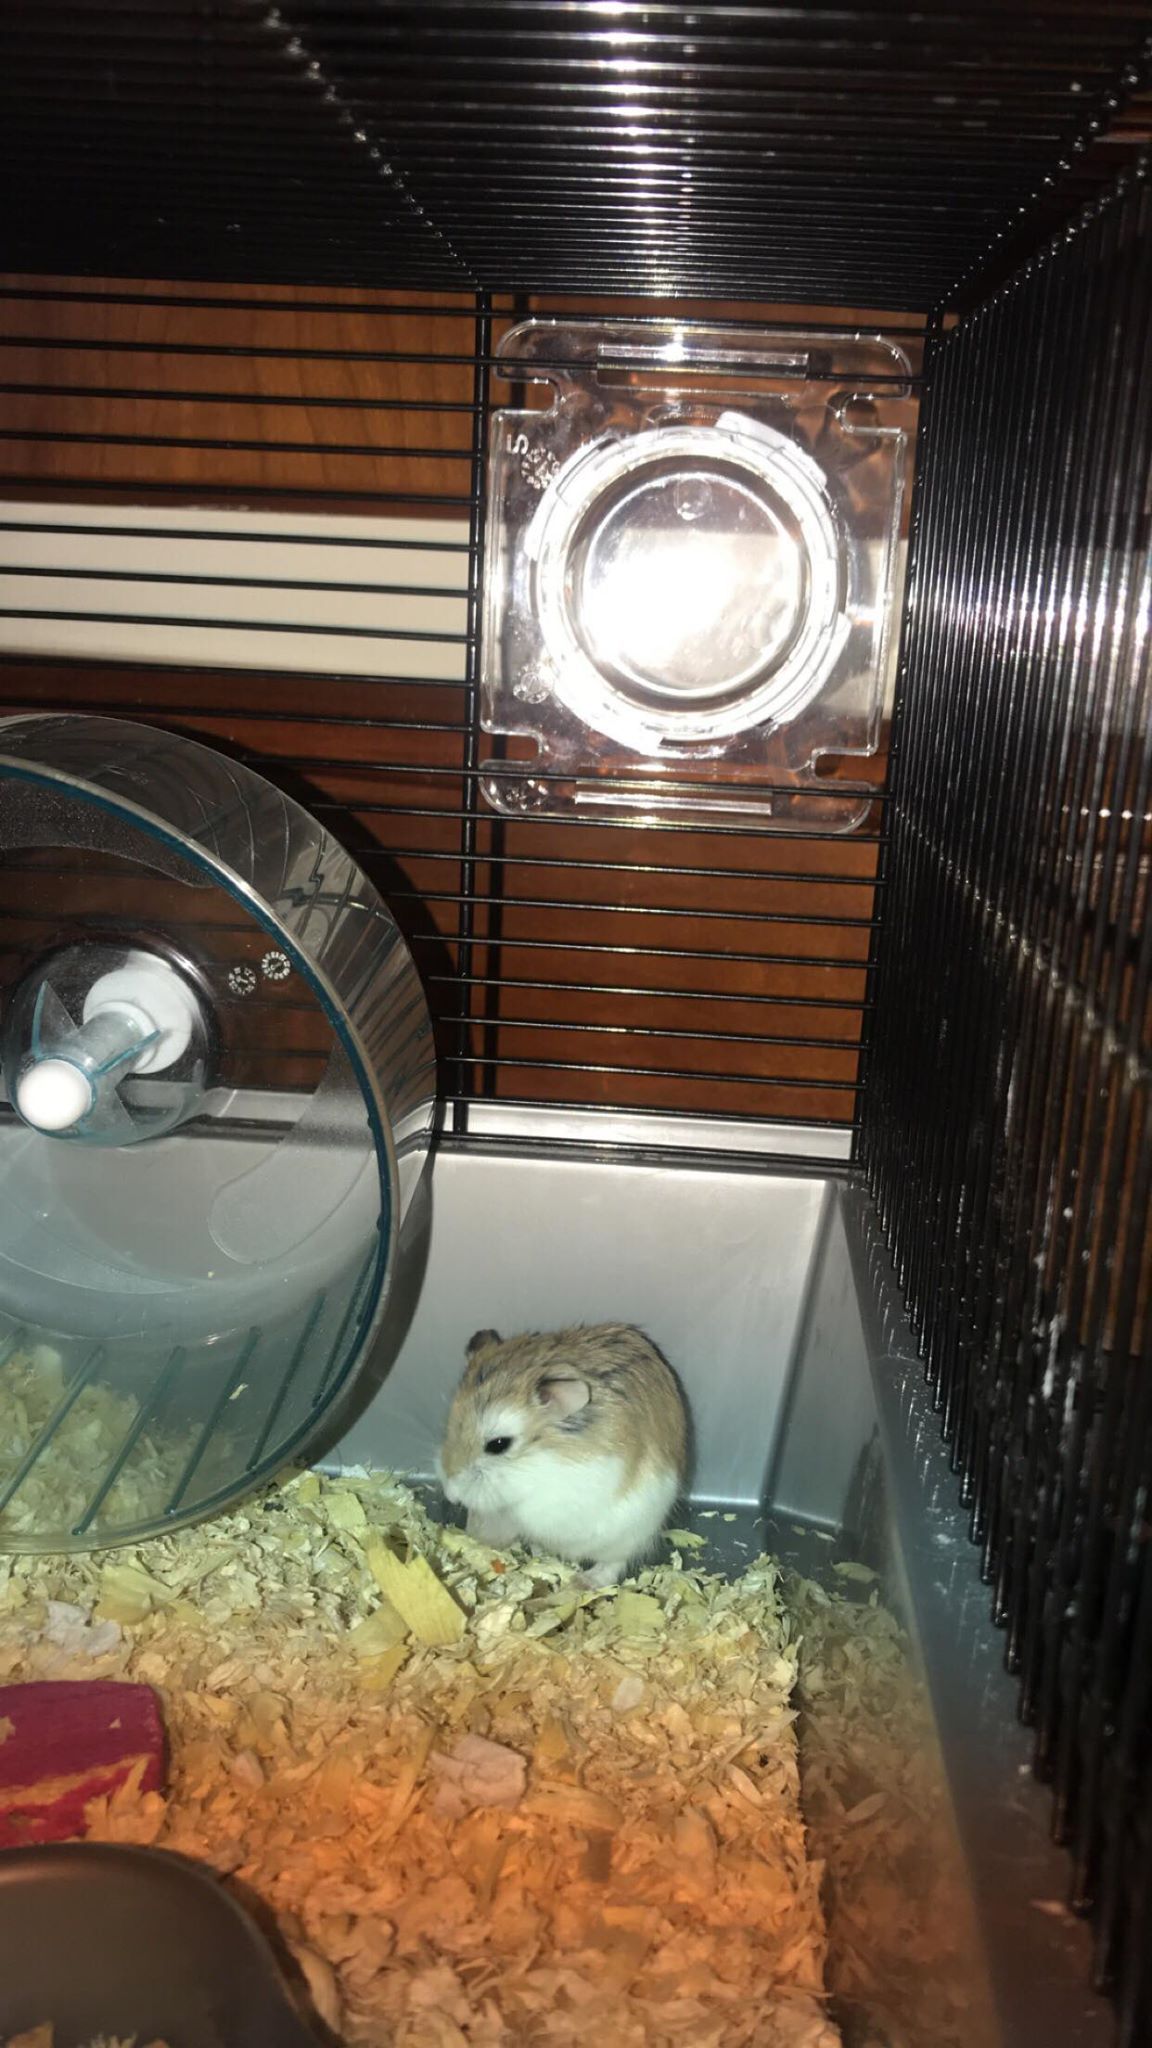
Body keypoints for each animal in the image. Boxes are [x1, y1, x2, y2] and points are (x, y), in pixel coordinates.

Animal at [437, 1323, 689, 1588]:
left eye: (498, 1444)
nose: (451, 1494)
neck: (537, 1462)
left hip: (631, 1532)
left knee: (613, 1563)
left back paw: (584, 1581)